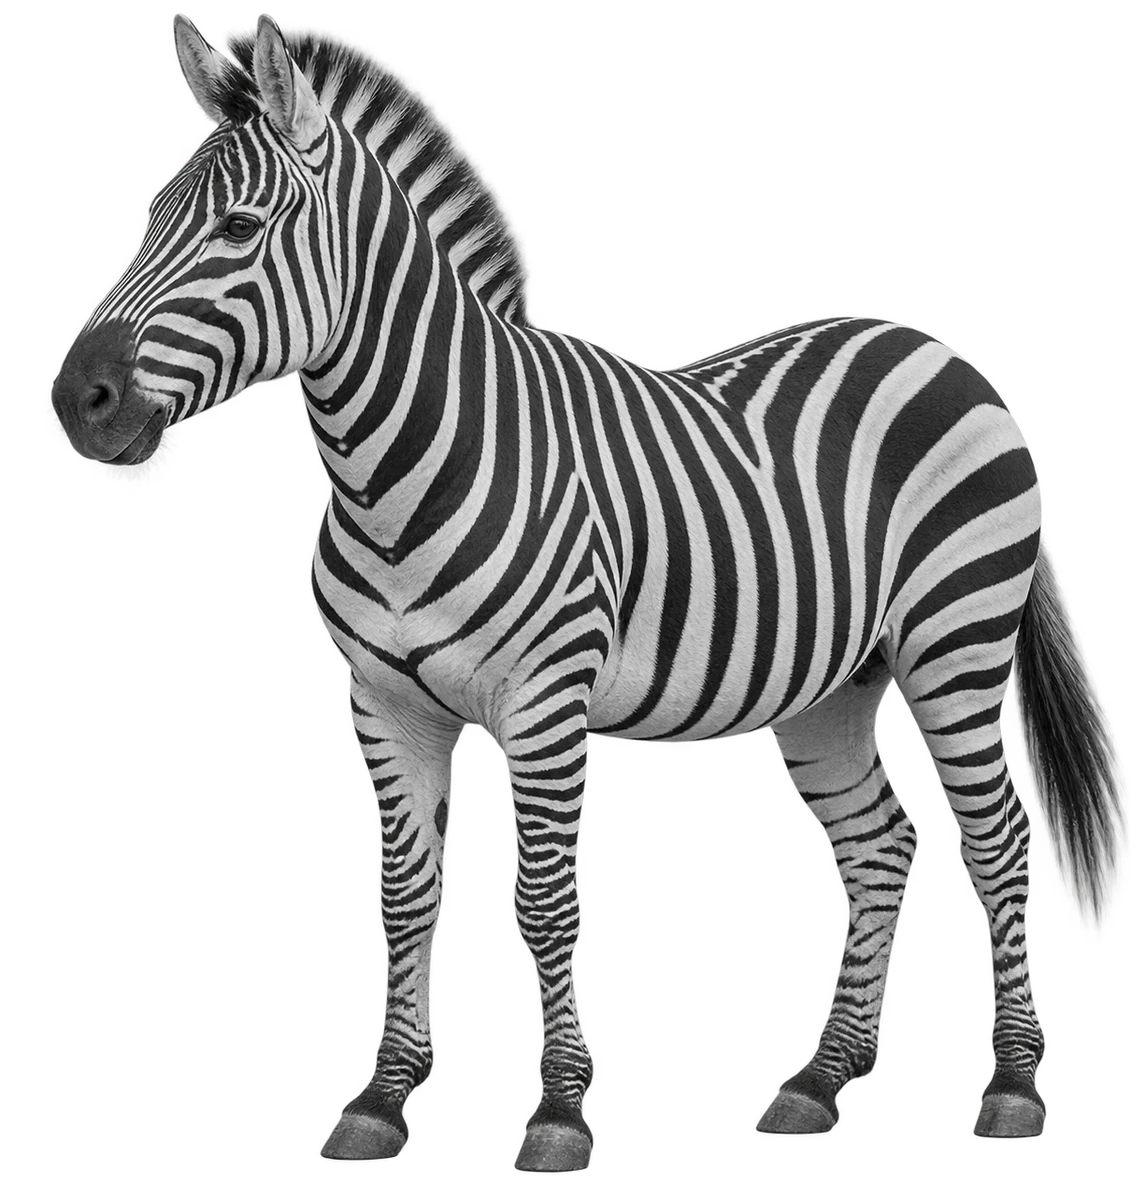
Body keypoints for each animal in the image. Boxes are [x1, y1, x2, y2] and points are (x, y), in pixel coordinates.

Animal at [47, 14, 1129, 1168]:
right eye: (148, 222)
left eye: (240, 228)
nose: (77, 403)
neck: (398, 472)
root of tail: (939, 350)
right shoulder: (381, 708)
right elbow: (404, 901)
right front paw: (381, 1099)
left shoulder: (542, 704)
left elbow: (544, 906)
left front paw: (560, 1111)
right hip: (833, 686)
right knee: (881, 847)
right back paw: (818, 1080)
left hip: (953, 648)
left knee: (994, 844)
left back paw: (1011, 1086)